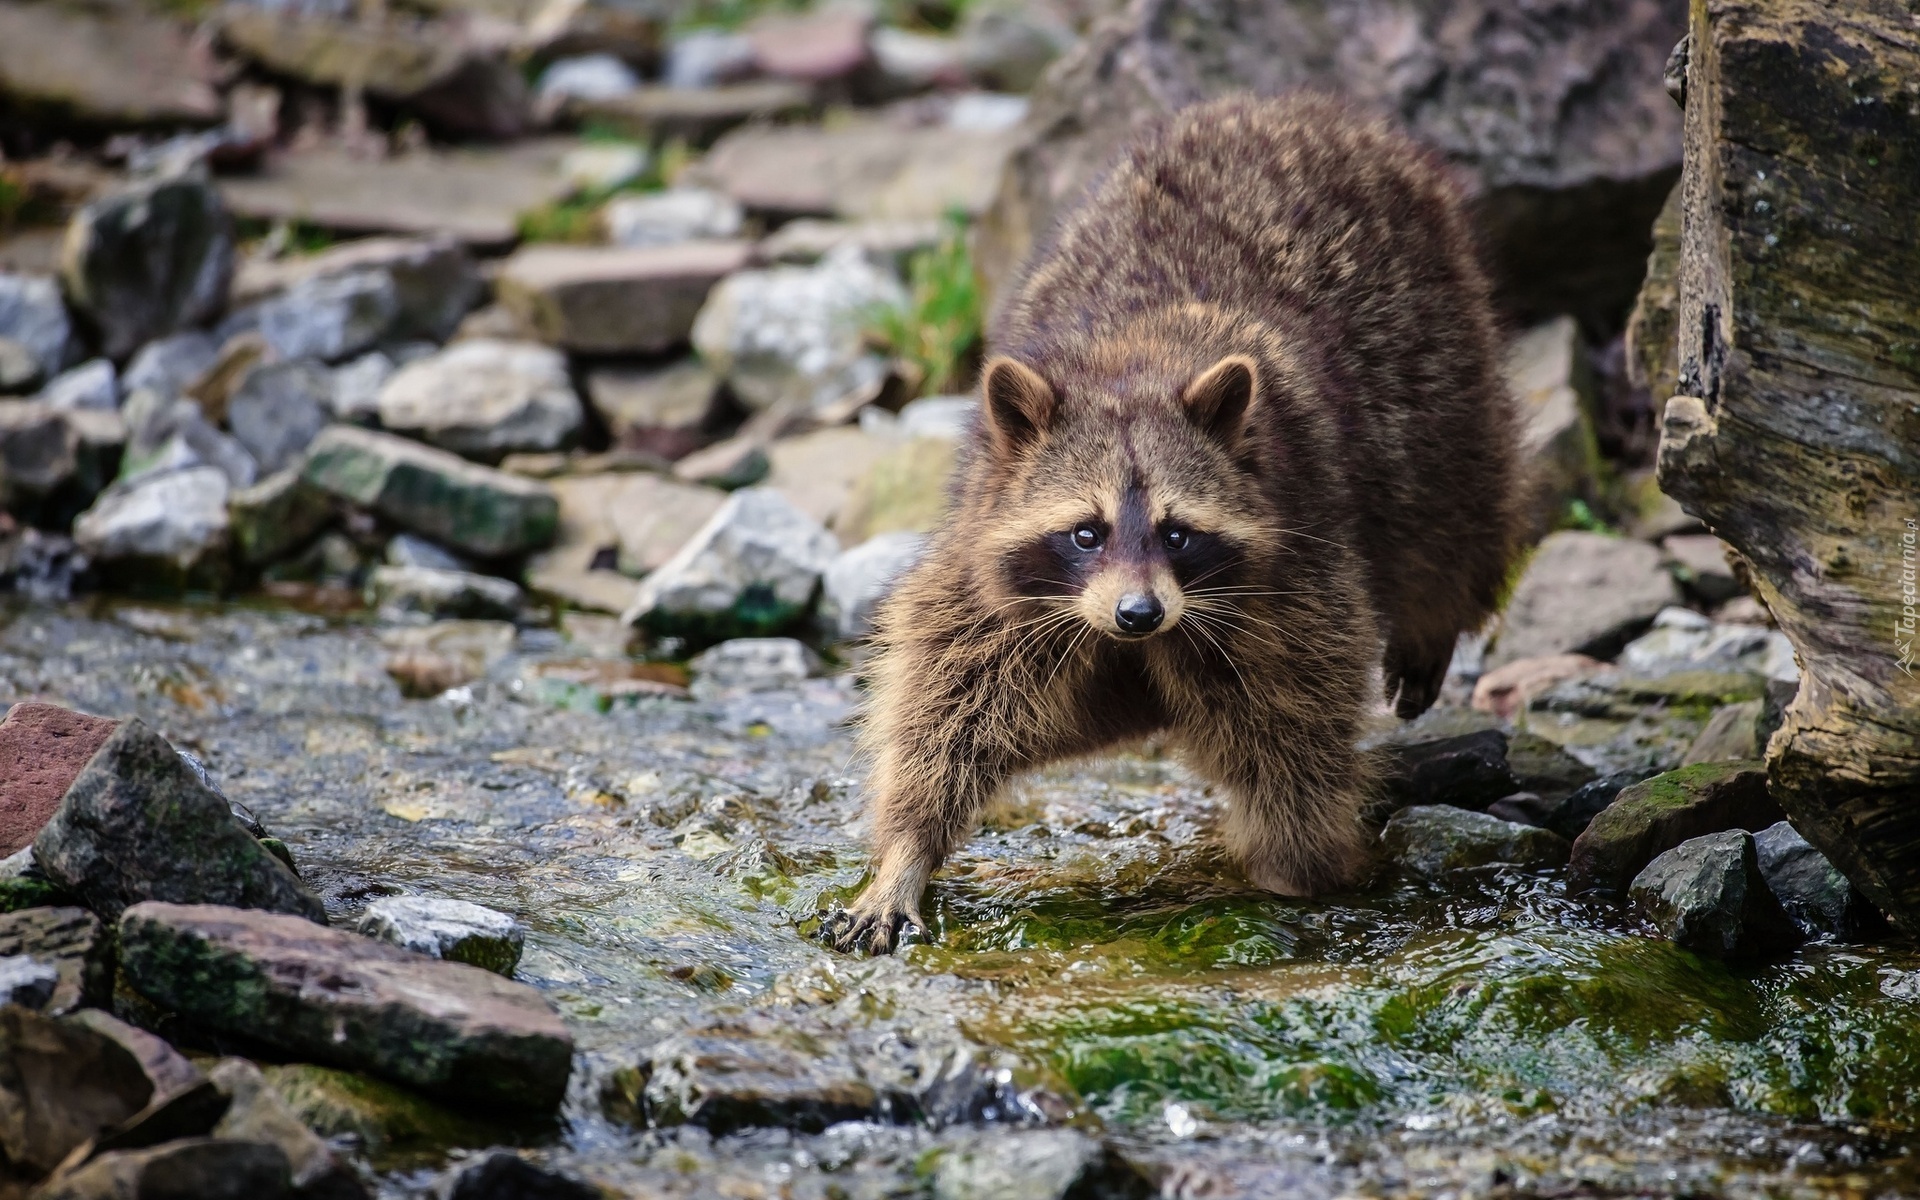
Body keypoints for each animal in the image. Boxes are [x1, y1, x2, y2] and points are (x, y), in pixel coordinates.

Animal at [833, 93, 1520, 956]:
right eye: (1086, 532)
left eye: (1177, 533)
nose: (1139, 613)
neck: (1133, 367)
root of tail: (1287, 104)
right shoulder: (987, 572)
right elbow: (943, 708)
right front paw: (907, 850)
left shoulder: (1294, 572)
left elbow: (1296, 728)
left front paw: (1298, 867)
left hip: (1436, 359)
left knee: (1452, 502)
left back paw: (1435, 614)